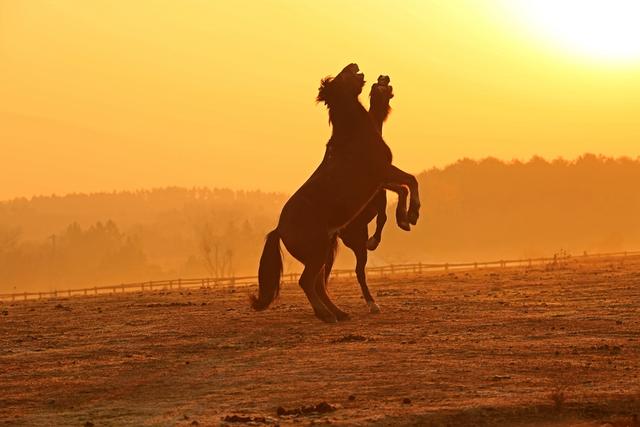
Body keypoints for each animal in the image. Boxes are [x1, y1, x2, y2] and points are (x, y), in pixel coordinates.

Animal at [250, 63, 420, 322]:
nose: (354, 65)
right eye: (341, 76)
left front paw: (404, 219)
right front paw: (411, 215)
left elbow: (405, 186)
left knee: (319, 283)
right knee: (308, 282)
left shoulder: (382, 178)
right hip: (319, 252)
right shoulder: (382, 172)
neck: (354, 135)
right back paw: (328, 314)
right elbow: (410, 181)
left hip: (323, 253)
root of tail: (279, 229)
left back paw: (339, 313)